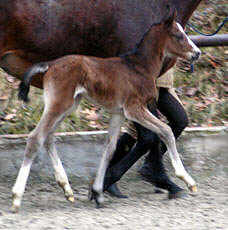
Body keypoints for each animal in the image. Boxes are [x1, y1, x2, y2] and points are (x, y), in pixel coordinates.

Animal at [0, 0, 201, 198]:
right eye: (178, 35)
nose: (197, 52)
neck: (138, 65)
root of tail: (49, 65)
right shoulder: (135, 108)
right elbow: (161, 132)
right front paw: (181, 180)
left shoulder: (121, 112)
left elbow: (110, 146)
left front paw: (99, 187)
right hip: (60, 104)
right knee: (36, 137)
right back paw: (18, 196)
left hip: (67, 105)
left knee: (48, 136)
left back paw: (67, 188)